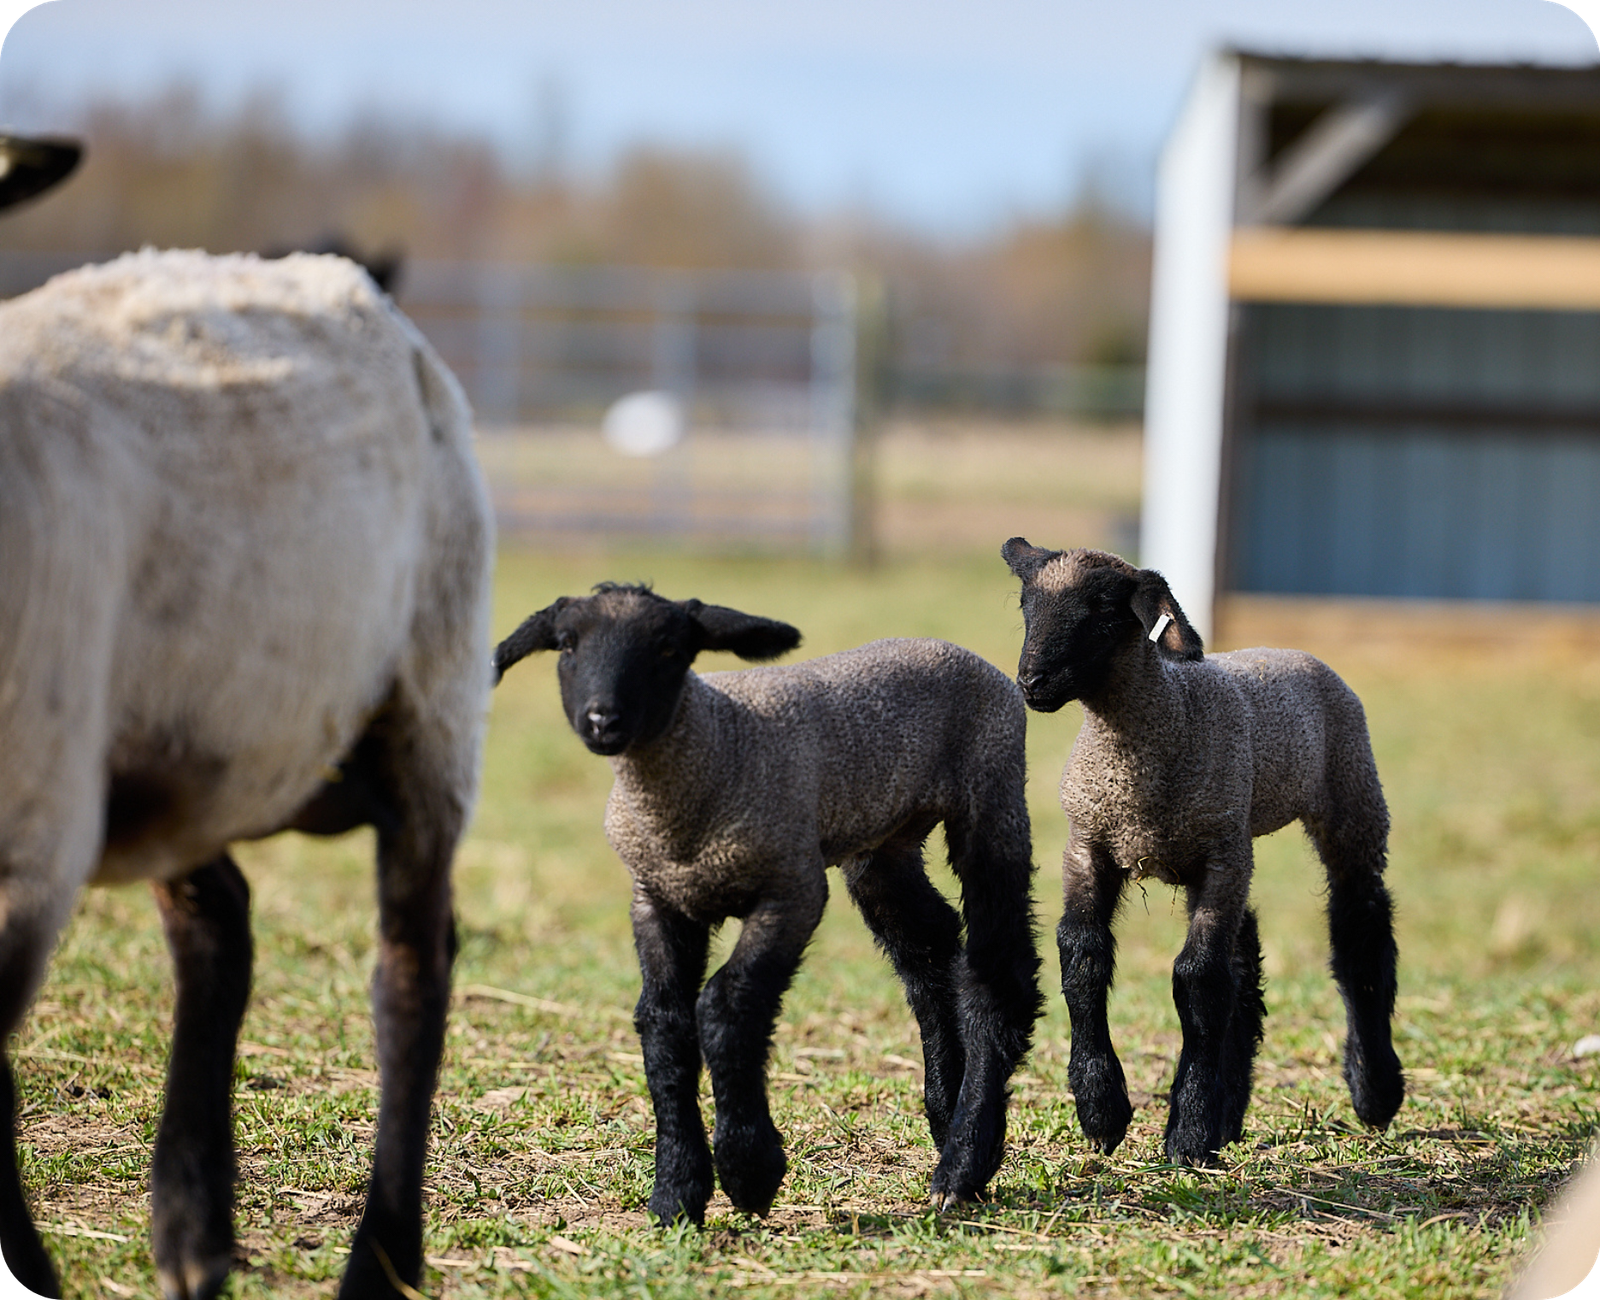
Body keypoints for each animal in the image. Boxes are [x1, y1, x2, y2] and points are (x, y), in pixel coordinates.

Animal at [0, 248, 493, 1300]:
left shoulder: (33, 829)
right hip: (191, 756)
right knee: (217, 932)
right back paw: (195, 1230)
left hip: (430, 699)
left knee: (411, 970)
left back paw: (379, 1258)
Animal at [493, 584, 1043, 1223]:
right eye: (566, 645)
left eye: (669, 647)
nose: (603, 719)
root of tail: (965, 656)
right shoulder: (657, 900)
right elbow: (662, 1022)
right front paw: (676, 1191)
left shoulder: (791, 890)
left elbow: (727, 1007)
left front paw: (749, 1169)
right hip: (884, 844)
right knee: (929, 951)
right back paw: (946, 1111)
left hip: (991, 796)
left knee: (997, 971)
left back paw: (963, 1161)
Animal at [1000, 539, 1403, 1167]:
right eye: (1026, 602)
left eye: (1103, 609)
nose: (1032, 681)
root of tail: (1288, 650)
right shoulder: (1088, 845)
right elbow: (1083, 957)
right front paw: (1102, 1110)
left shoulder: (1220, 855)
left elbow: (1198, 979)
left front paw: (1187, 1132)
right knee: (1246, 960)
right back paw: (1228, 1116)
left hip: (1349, 798)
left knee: (1360, 928)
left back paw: (1374, 1090)